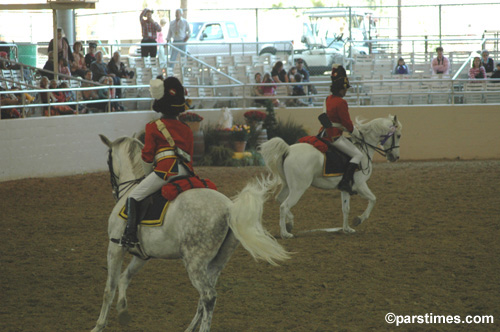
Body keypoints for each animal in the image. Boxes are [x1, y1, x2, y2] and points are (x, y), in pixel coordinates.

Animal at [91, 136, 290, 332]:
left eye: (108, 160)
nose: (114, 190)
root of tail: (229, 208)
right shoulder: (142, 255)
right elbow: (125, 278)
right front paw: (123, 310)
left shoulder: (115, 247)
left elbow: (109, 288)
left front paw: (99, 325)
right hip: (215, 263)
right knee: (204, 297)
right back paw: (190, 328)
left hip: (194, 262)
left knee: (208, 296)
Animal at [258, 115, 402, 237]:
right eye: (399, 135)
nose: (395, 157)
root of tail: (288, 150)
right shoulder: (360, 185)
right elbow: (373, 199)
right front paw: (358, 219)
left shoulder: (345, 187)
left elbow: (346, 208)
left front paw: (347, 229)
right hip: (299, 188)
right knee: (284, 206)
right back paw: (285, 233)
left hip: (288, 186)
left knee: (279, 199)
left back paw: (290, 224)